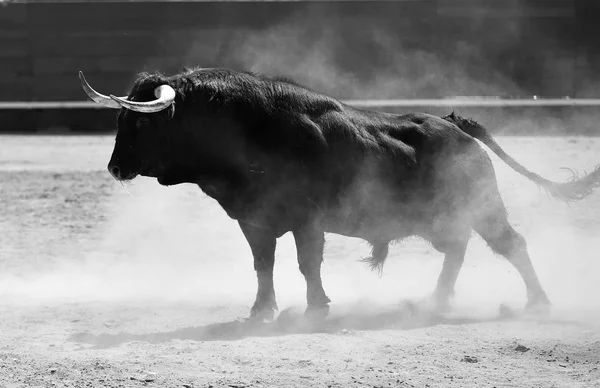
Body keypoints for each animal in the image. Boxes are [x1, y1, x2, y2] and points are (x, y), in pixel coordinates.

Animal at [79, 68, 600, 320]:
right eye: (121, 119)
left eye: (142, 121)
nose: (115, 167)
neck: (247, 132)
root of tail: (455, 124)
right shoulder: (254, 221)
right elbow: (263, 265)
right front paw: (262, 310)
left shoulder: (307, 219)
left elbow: (308, 263)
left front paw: (316, 306)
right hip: (443, 219)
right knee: (456, 250)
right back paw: (435, 301)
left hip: (484, 207)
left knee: (511, 245)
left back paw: (537, 303)